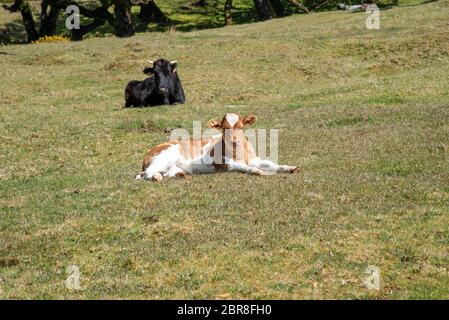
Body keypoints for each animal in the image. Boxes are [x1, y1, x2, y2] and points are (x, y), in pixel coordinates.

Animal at [135, 114, 300, 181]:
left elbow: (271, 163)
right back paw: (155, 177)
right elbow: (243, 166)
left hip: (172, 167)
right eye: (224, 128)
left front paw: (290, 168)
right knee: (145, 173)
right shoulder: (224, 164)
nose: (234, 141)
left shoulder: (255, 159)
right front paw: (257, 171)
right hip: (162, 159)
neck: (239, 153)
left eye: (241, 127)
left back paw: (179, 174)